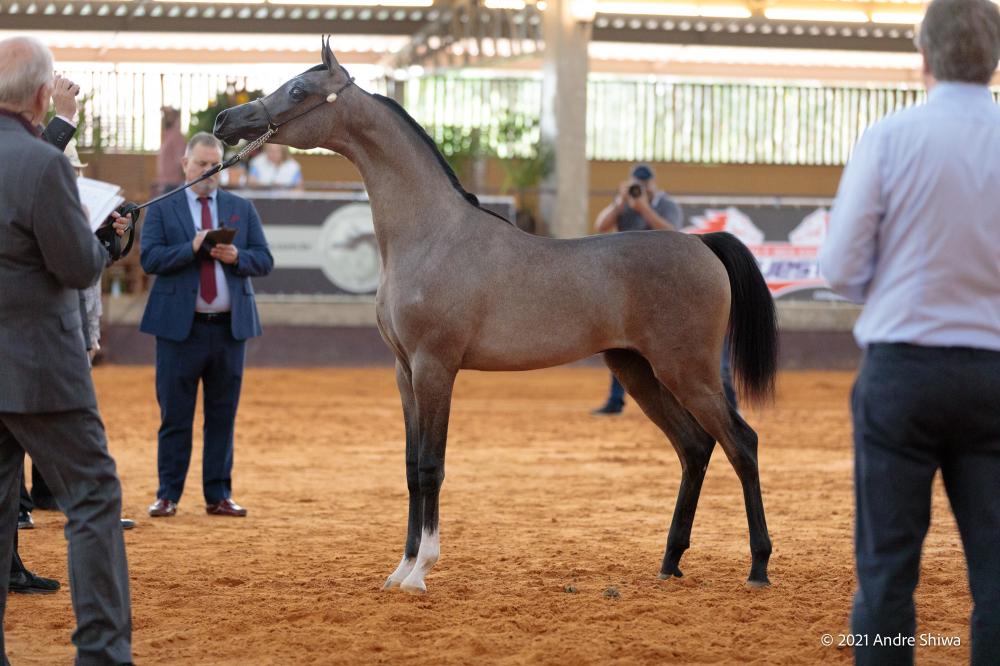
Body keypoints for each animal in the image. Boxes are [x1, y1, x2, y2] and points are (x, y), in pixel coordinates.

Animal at [215, 40, 780, 592]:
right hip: (637, 370)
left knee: (742, 444)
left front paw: (421, 571)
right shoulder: (404, 371)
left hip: (688, 370)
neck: (431, 235)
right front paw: (400, 568)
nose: (225, 119)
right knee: (695, 447)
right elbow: (409, 466)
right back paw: (670, 562)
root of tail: (702, 244)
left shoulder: (435, 367)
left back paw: (758, 566)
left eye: (298, 90)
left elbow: (431, 466)